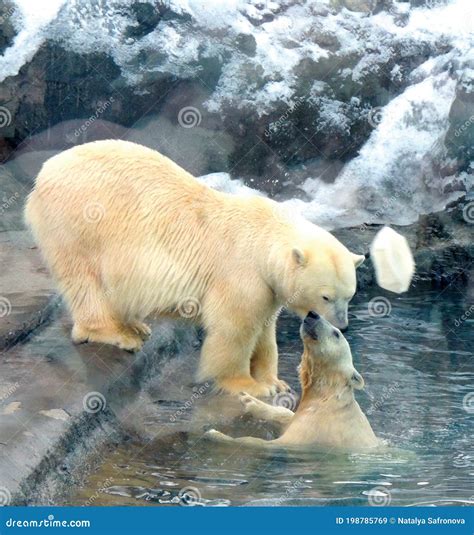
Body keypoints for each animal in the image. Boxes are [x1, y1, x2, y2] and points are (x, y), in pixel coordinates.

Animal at [25, 141, 364, 398]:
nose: (343, 325)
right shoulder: (242, 273)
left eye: (349, 295)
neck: (264, 236)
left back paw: (136, 325)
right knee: (86, 280)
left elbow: (265, 331)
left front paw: (276, 383)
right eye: (326, 296)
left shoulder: (267, 287)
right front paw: (248, 385)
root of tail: (43, 173)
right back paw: (117, 333)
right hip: (80, 221)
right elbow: (234, 328)